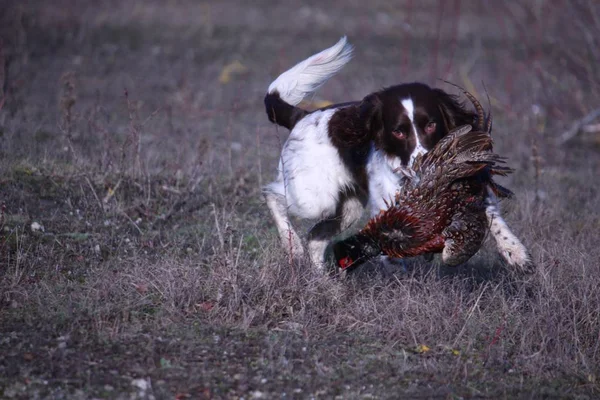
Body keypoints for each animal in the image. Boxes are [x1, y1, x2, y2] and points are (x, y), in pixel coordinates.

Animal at [262, 36, 528, 272]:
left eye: (431, 125)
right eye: (398, 132)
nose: (425, 164)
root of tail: (301, 116)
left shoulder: (470, 186)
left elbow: (491, 215)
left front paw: (515, 252)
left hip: (347, 208)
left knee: (316, 238)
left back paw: (324, 283)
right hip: (314, 198)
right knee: (272, 195)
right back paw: (293, 247)